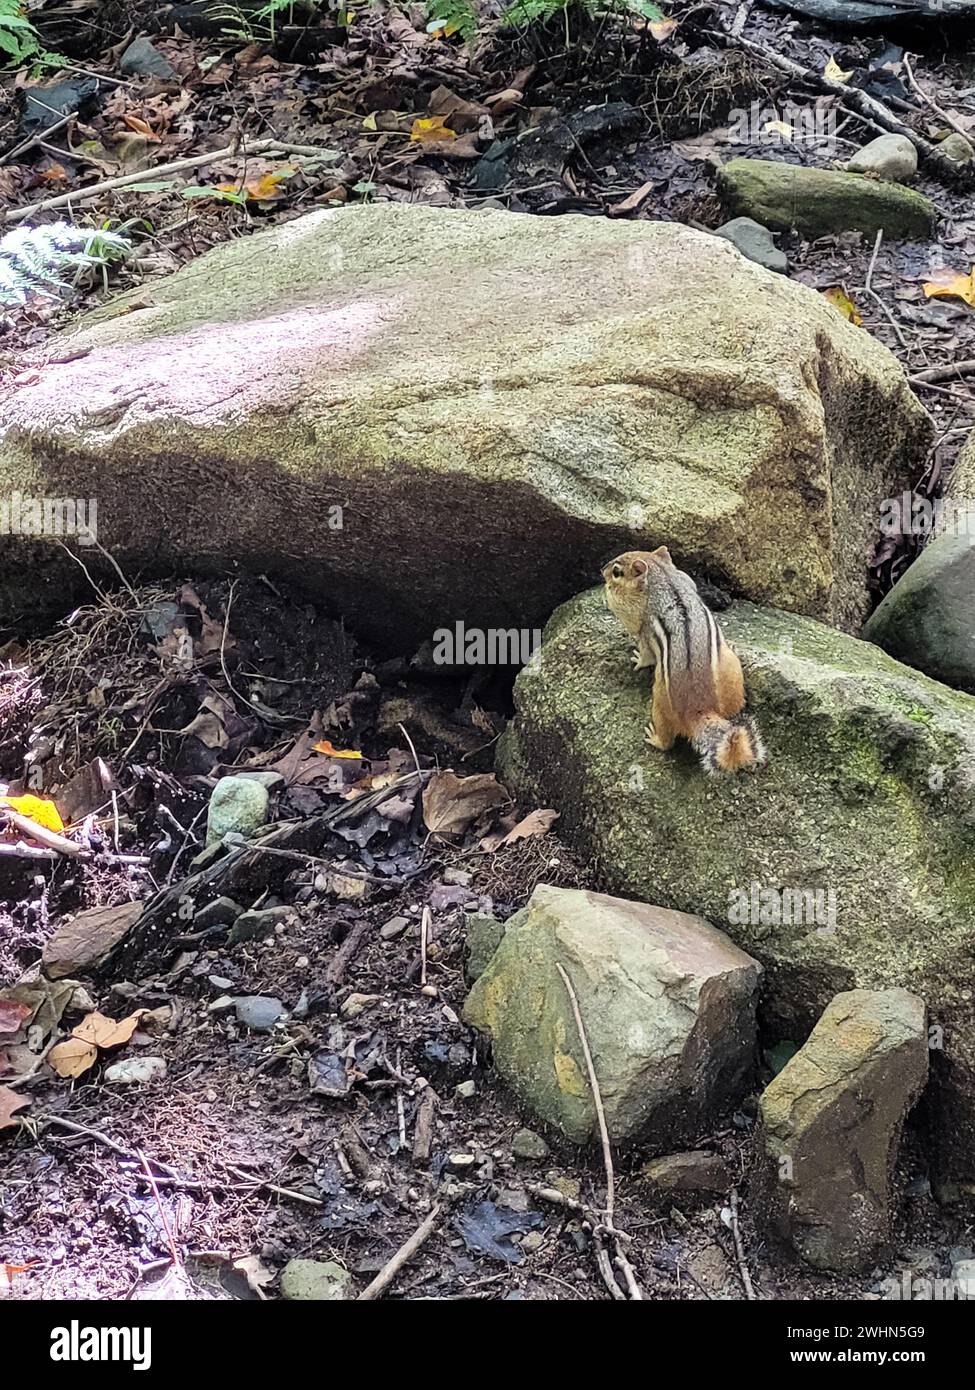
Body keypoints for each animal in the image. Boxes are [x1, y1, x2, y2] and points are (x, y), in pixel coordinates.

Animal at [602, 547, 765, 774]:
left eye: (617, 572)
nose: (602, 569)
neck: (664, 578)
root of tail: (700, 710)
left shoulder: (645, 630)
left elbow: (646, 655)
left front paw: (637, 659)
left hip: (659, 703)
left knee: (667, 740)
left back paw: (654, 738)